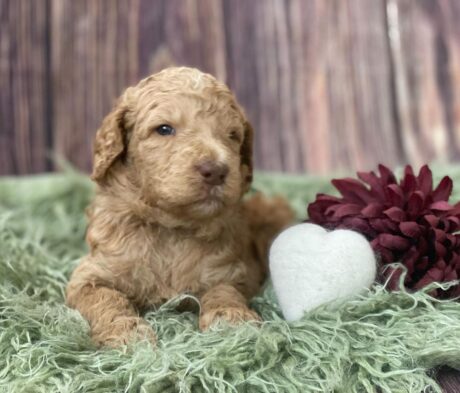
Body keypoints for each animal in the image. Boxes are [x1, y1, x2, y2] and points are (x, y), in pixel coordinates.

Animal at [66, 67, 292, 346]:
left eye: (232, 136)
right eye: (164, 129)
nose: (216, 171)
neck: (171, 228)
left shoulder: (232, 270)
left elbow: (224, 289)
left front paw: (232, 318)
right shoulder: (91, 275)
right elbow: (105, 298)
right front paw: (126, 332)